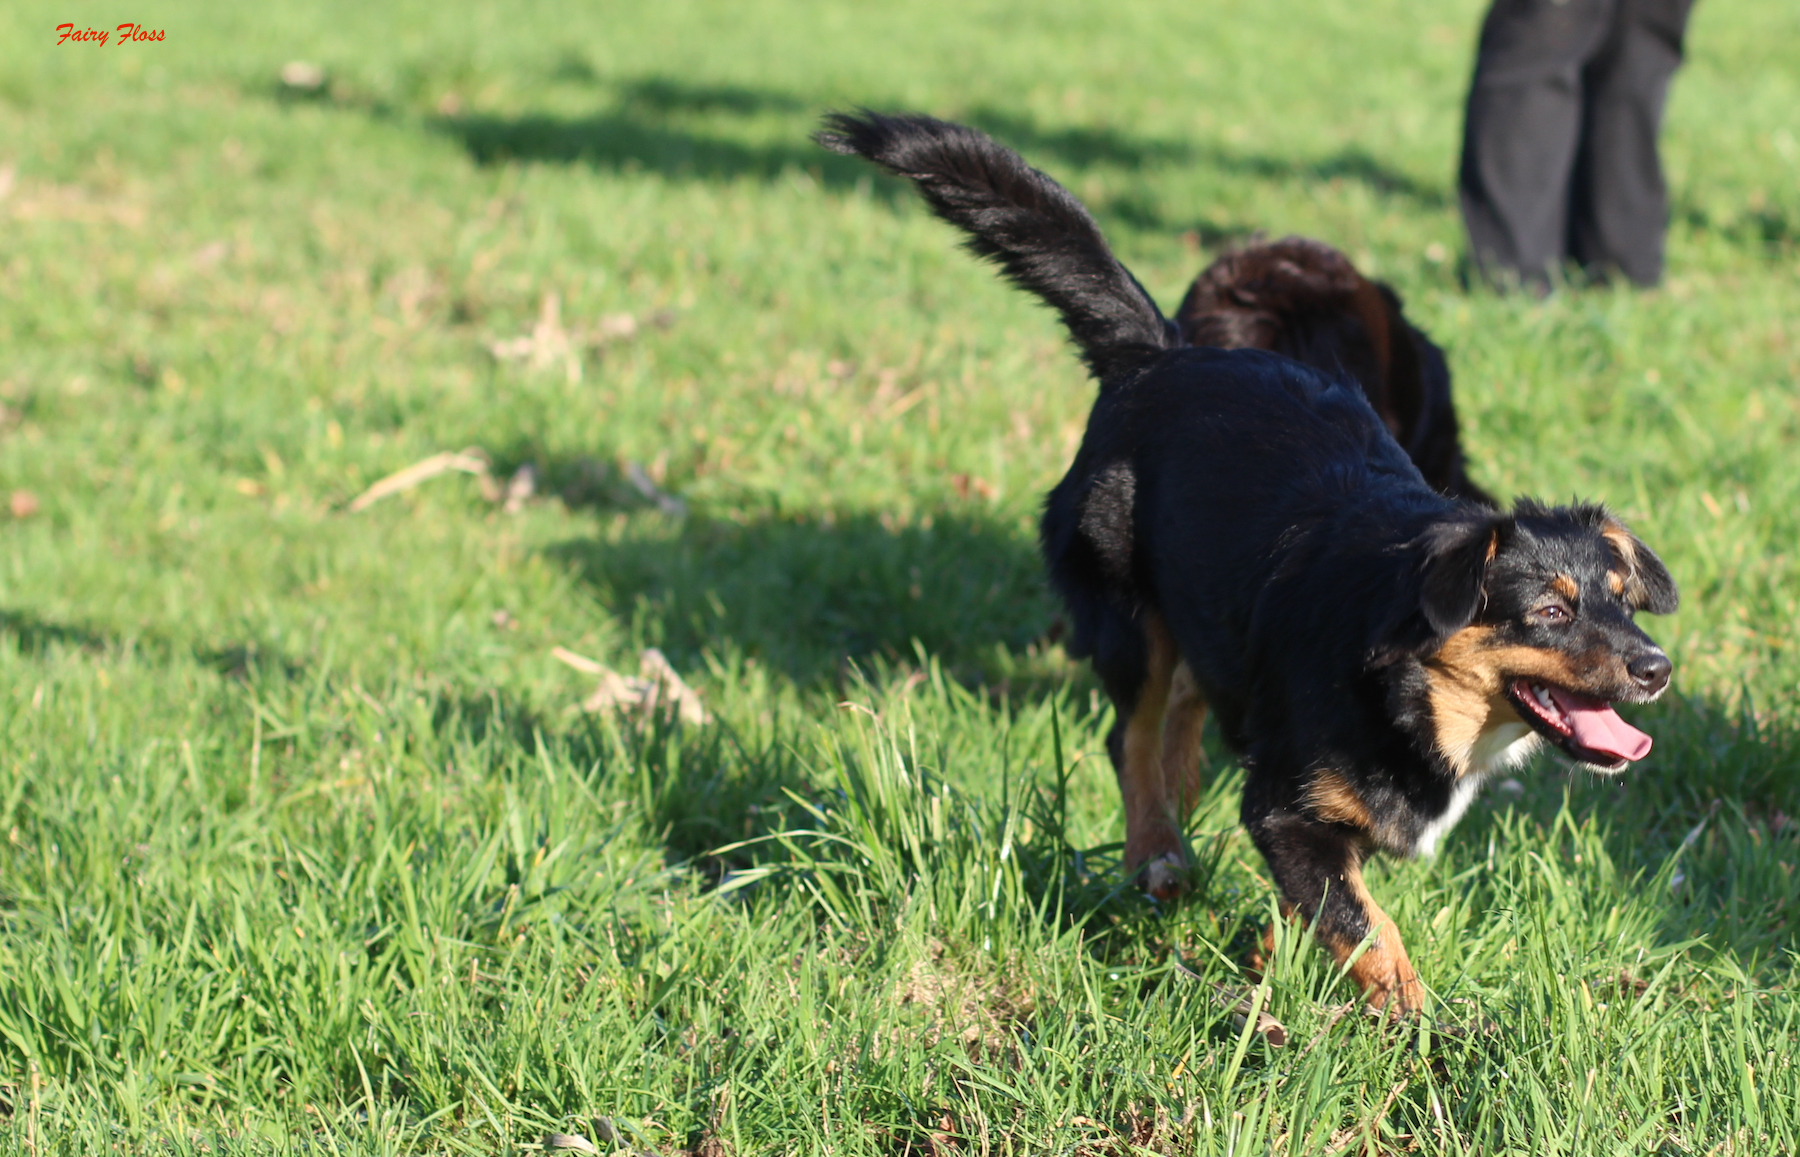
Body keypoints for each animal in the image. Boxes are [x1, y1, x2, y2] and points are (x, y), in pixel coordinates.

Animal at [824, 111, 1677, 1014]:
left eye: (1622, 602)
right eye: (1549, 610)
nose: (1657, 668)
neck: (1406, 680)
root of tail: (1160, 352)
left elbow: (1332, 907)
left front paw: (1284, 958)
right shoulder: (1286, 808)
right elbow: (1371, 927)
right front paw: (1420, 1021)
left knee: (1186, 704)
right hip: (1126, 610)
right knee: (1131, 733)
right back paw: (1157, 850)